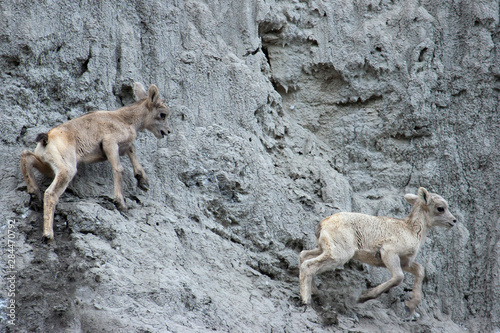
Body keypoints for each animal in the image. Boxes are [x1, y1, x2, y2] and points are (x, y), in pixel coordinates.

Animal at [21, 81, 170, 240]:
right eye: (162, 114)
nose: (167, 132)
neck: (125, 119)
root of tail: (47, 139)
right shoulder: (109, 142)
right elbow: (119, 169)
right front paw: (121, 203)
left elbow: (132, 149)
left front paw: (143, 181)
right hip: (66, 170)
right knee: (50, 194)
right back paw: (48, 235)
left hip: (48, 167)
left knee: (26, 156)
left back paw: (34, 195)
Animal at [300, 187, 458, 314]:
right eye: (440, 208)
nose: (454, 221)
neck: (411, 230)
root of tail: (323, 224)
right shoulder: (389, 253)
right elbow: (398, 277)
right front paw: (363, 297)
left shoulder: (405, 262)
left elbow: (420, 270)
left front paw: (410, 306)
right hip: (339, 254)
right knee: (308, 265)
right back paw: (306, 300)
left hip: (324, 249)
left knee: (304, 256)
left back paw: (316, 293)